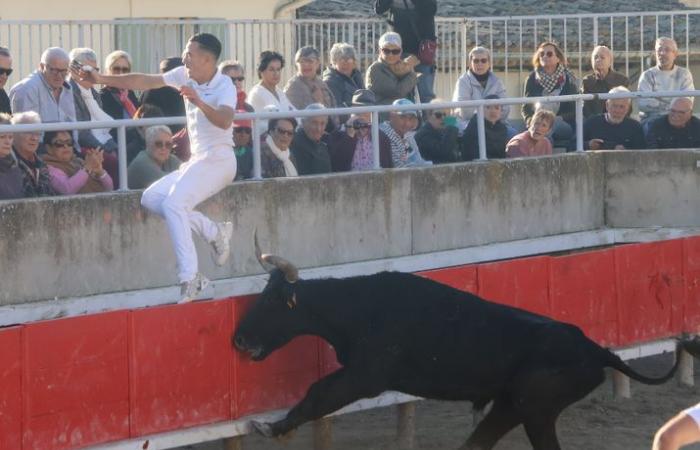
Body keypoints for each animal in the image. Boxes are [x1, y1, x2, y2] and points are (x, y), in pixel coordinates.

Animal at [234, 248, 696, 448]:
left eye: (273, 302)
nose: (238, 338)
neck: (359, 307)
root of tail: (598, 350)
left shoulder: (366, 377)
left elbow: (318, 394)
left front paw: (273, 427)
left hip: (536, 408)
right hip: (513, 406)